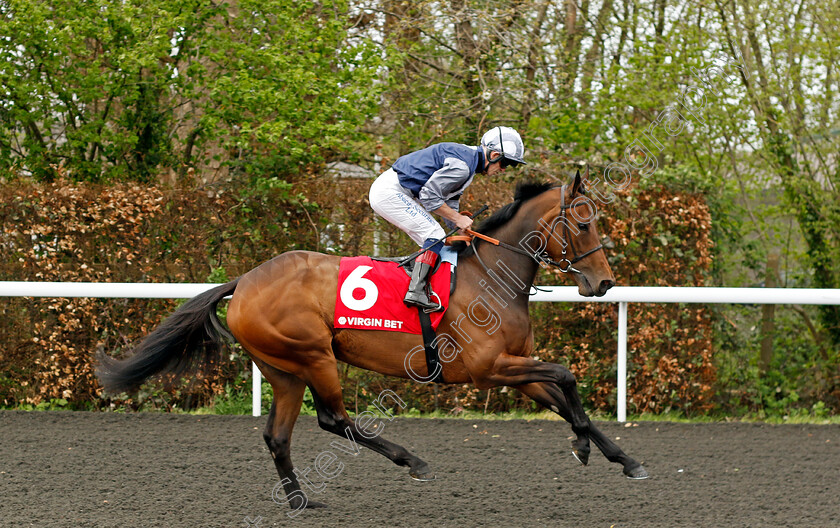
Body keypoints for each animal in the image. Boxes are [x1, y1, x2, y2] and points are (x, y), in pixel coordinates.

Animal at [98, 172, 648, 512]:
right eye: (583, 222)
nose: (604, 282)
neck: (492, 276)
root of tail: (245, 281)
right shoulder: (487, 367)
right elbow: (566, 377)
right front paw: (583, 445)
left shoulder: (513, 364)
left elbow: (561, 395)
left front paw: (625, 459)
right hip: (313, 355)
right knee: (333, 419)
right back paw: (412, 461)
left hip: (282, 370)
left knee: (278, 436)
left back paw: (301, 501)